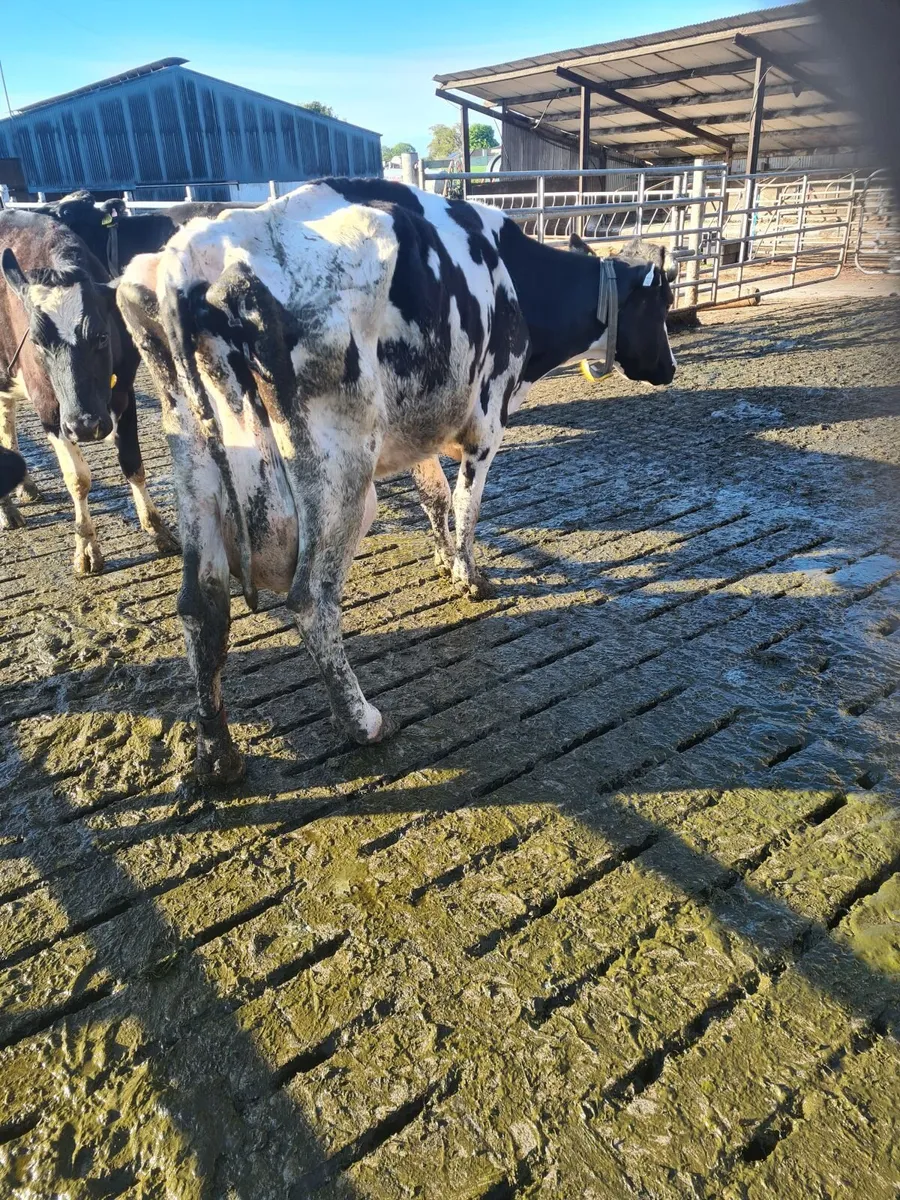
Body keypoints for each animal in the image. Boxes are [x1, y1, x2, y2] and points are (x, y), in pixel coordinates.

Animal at [0, 209, 178, 572]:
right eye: (37, 342)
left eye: (101, 336)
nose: (85, 425)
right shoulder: (50, 410)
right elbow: (78, 479)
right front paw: (86, 548)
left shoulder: (124, 392)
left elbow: (132, 462)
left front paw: (158, 530)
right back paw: (7, 510)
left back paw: (25, 487)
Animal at [118, 178, 676, 783]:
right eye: (663, 305)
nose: (670, 369)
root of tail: (193, 258)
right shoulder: (486, 423)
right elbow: (467, 506)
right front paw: (469, 576)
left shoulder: (419, 435)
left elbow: (436, 498)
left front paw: (442, 557)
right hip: (340, 480)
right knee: (311, 598)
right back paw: (362, 721)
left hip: (196, 468)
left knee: (202, 606)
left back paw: (218, 754)